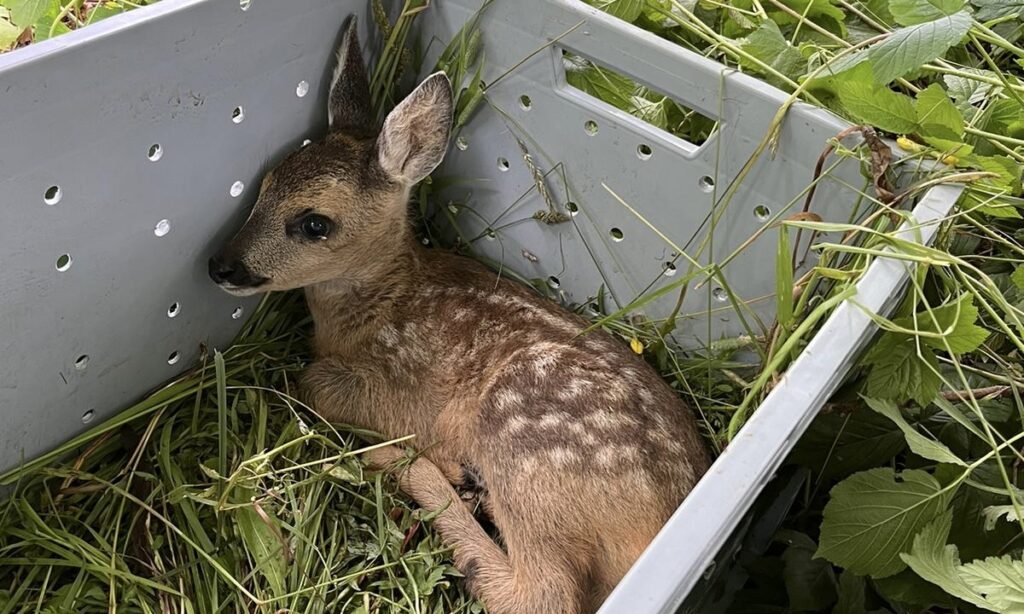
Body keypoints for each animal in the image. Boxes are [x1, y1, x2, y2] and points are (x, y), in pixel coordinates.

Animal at [209, 17, 710, 614]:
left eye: (314, 224)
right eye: (263, 187)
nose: (220, 265)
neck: (379, 303)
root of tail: (660, 528)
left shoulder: (386, 382)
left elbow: (314, 381)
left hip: (521, 441)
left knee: (543, 592)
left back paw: (416, 468)